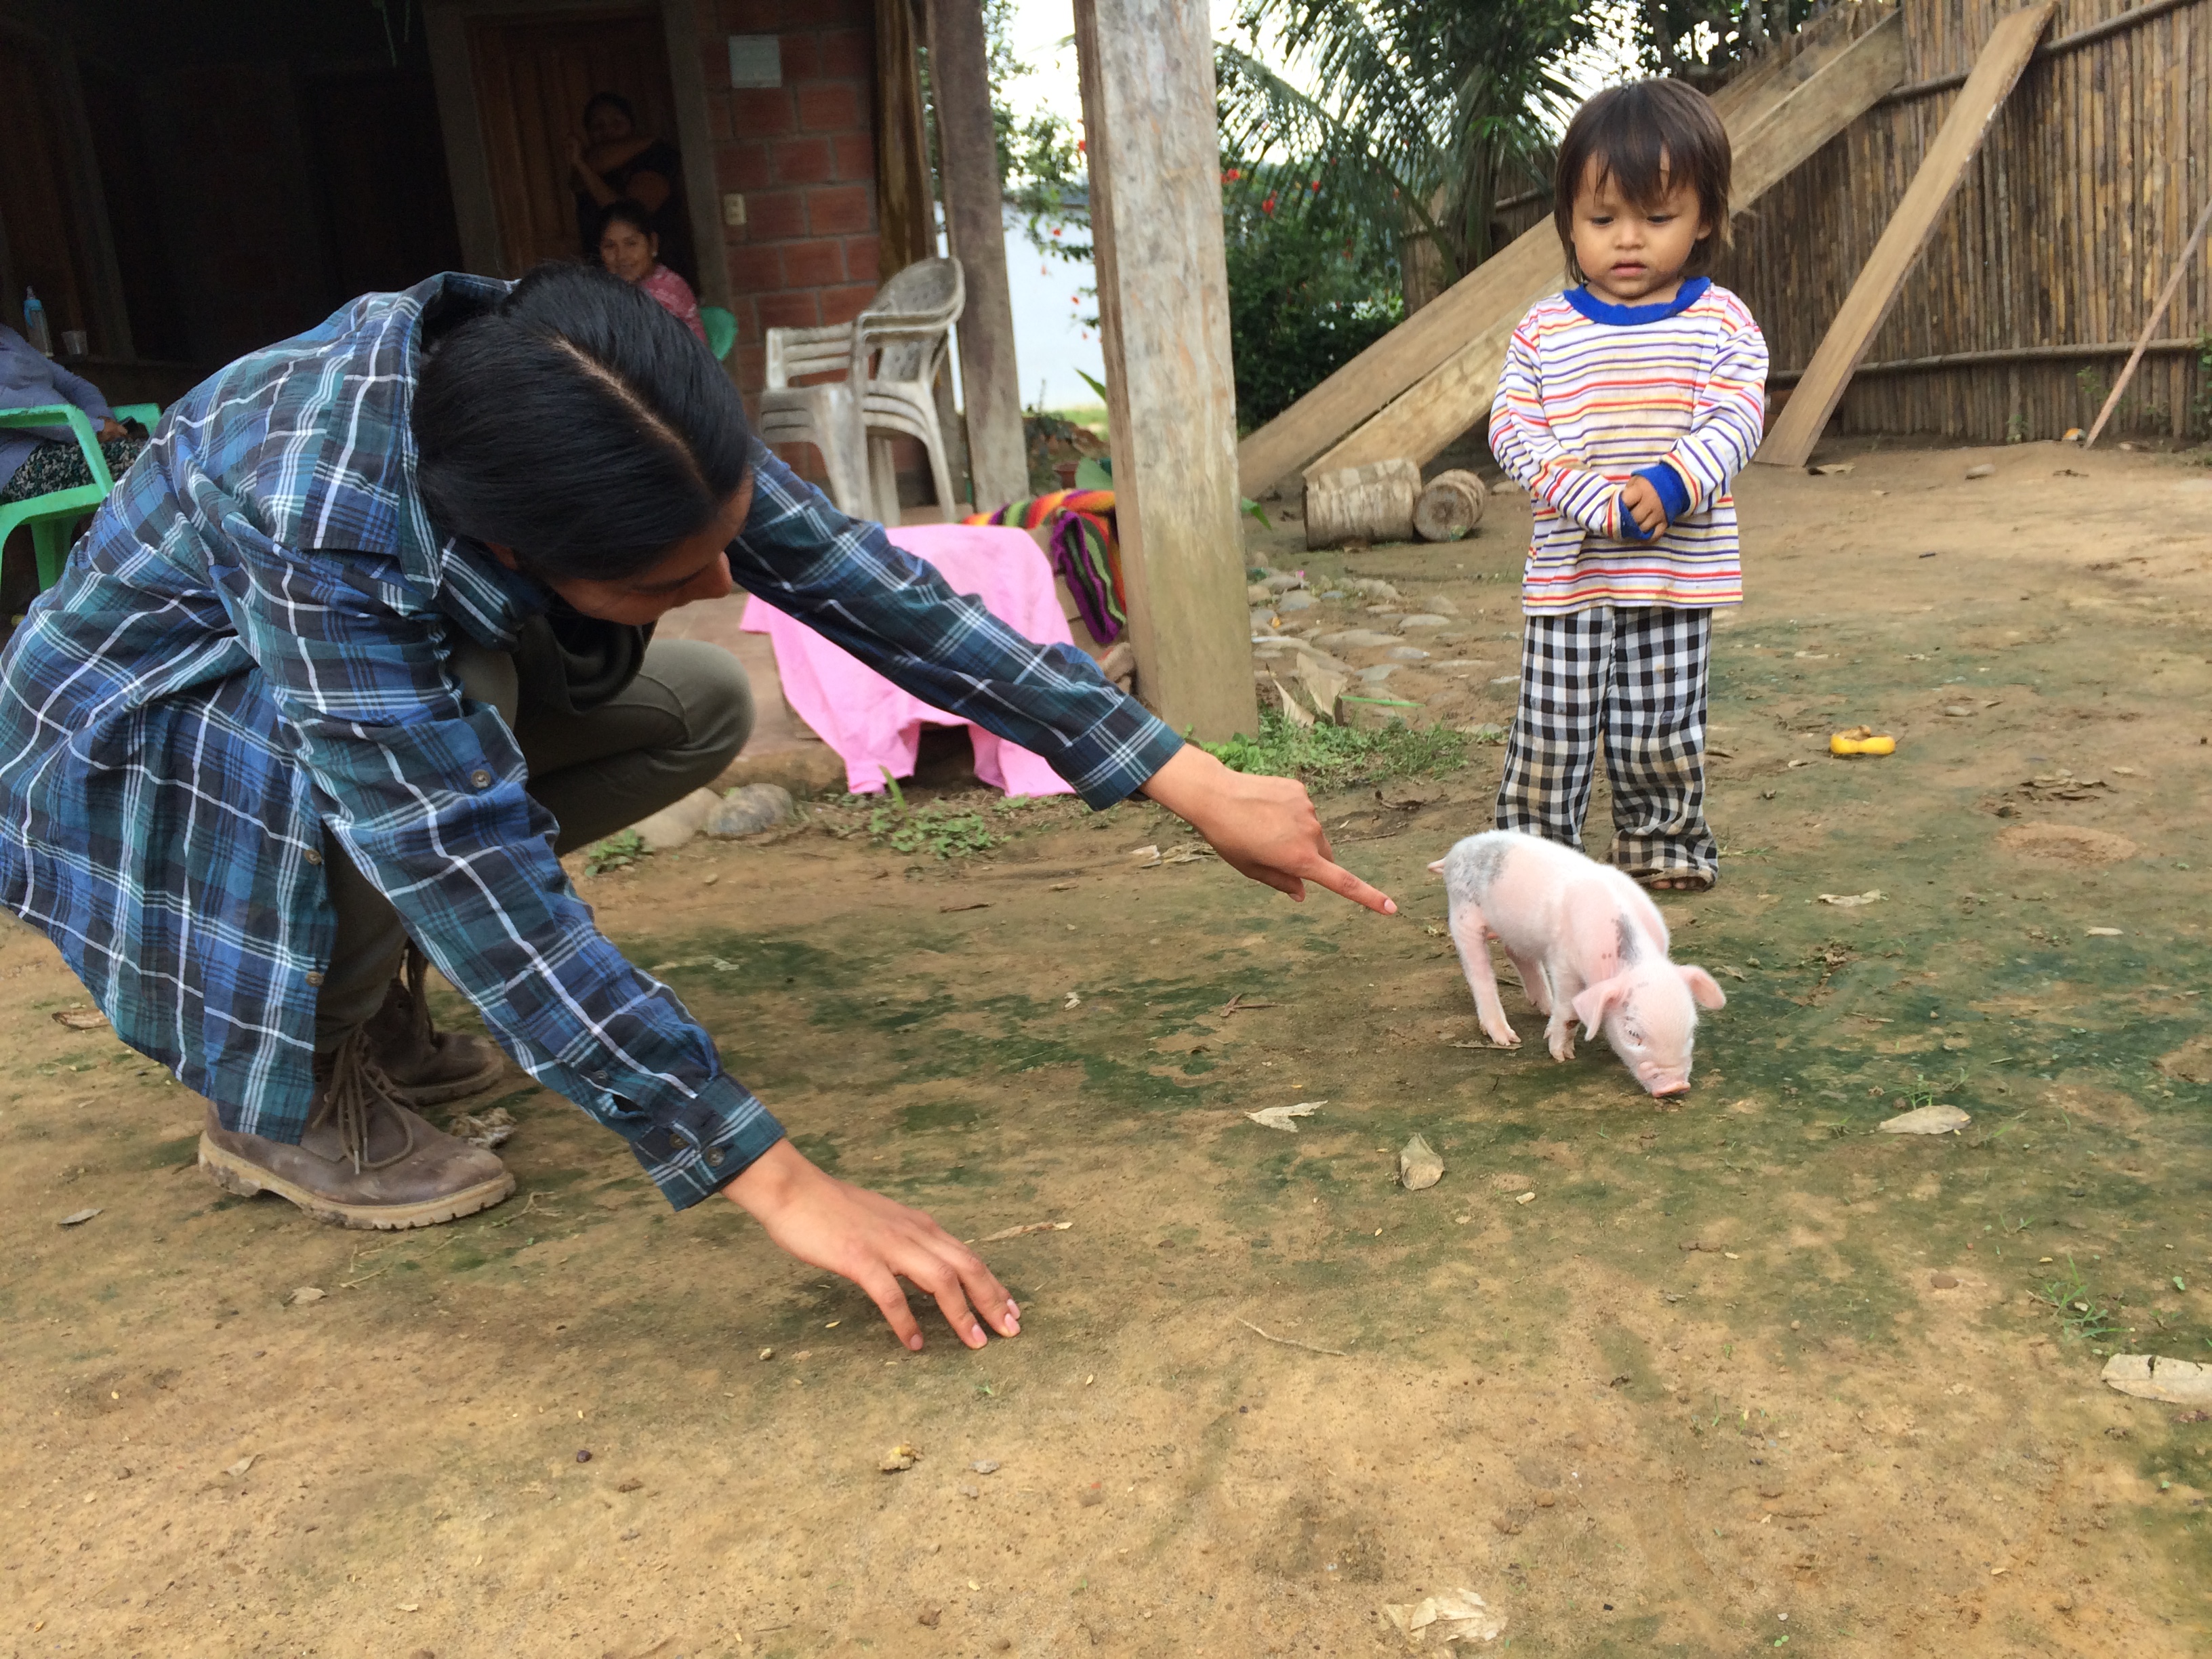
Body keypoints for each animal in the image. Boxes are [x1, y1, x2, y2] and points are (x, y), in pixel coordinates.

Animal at [1429, 830, 1726, 1097]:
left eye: (1691, 1030)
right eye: (1632, 1033)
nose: (1676, 1087)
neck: (1632, 959)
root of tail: (1457, 850)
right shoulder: (1562, 962)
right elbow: (1570, 1012)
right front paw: (1562, 1056)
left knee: (1515, 952)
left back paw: (1545, 1009)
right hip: (1463, 915)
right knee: (1478, 971)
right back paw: (1507, 1037)